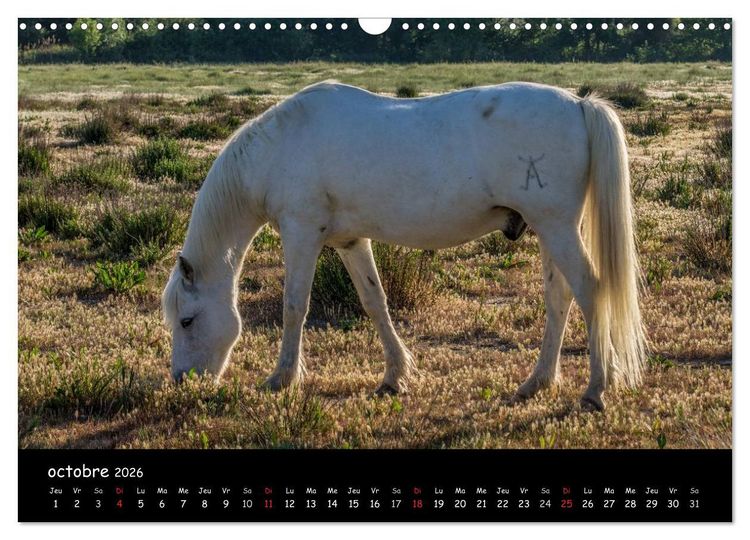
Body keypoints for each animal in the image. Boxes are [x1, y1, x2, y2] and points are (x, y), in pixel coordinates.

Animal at [162, 81, 646, 411]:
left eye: (187, 320)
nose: (182, 380)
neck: (281, 145)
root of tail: (580, 105)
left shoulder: (302, 233)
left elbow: (294, 306)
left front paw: (282, 378)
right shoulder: (349, 241)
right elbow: (374, 302)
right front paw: (395, 375)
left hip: (557, 228)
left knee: (590, 290)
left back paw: (596, 389)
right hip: (552, 230)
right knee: (559, 297)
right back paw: (537, 383)